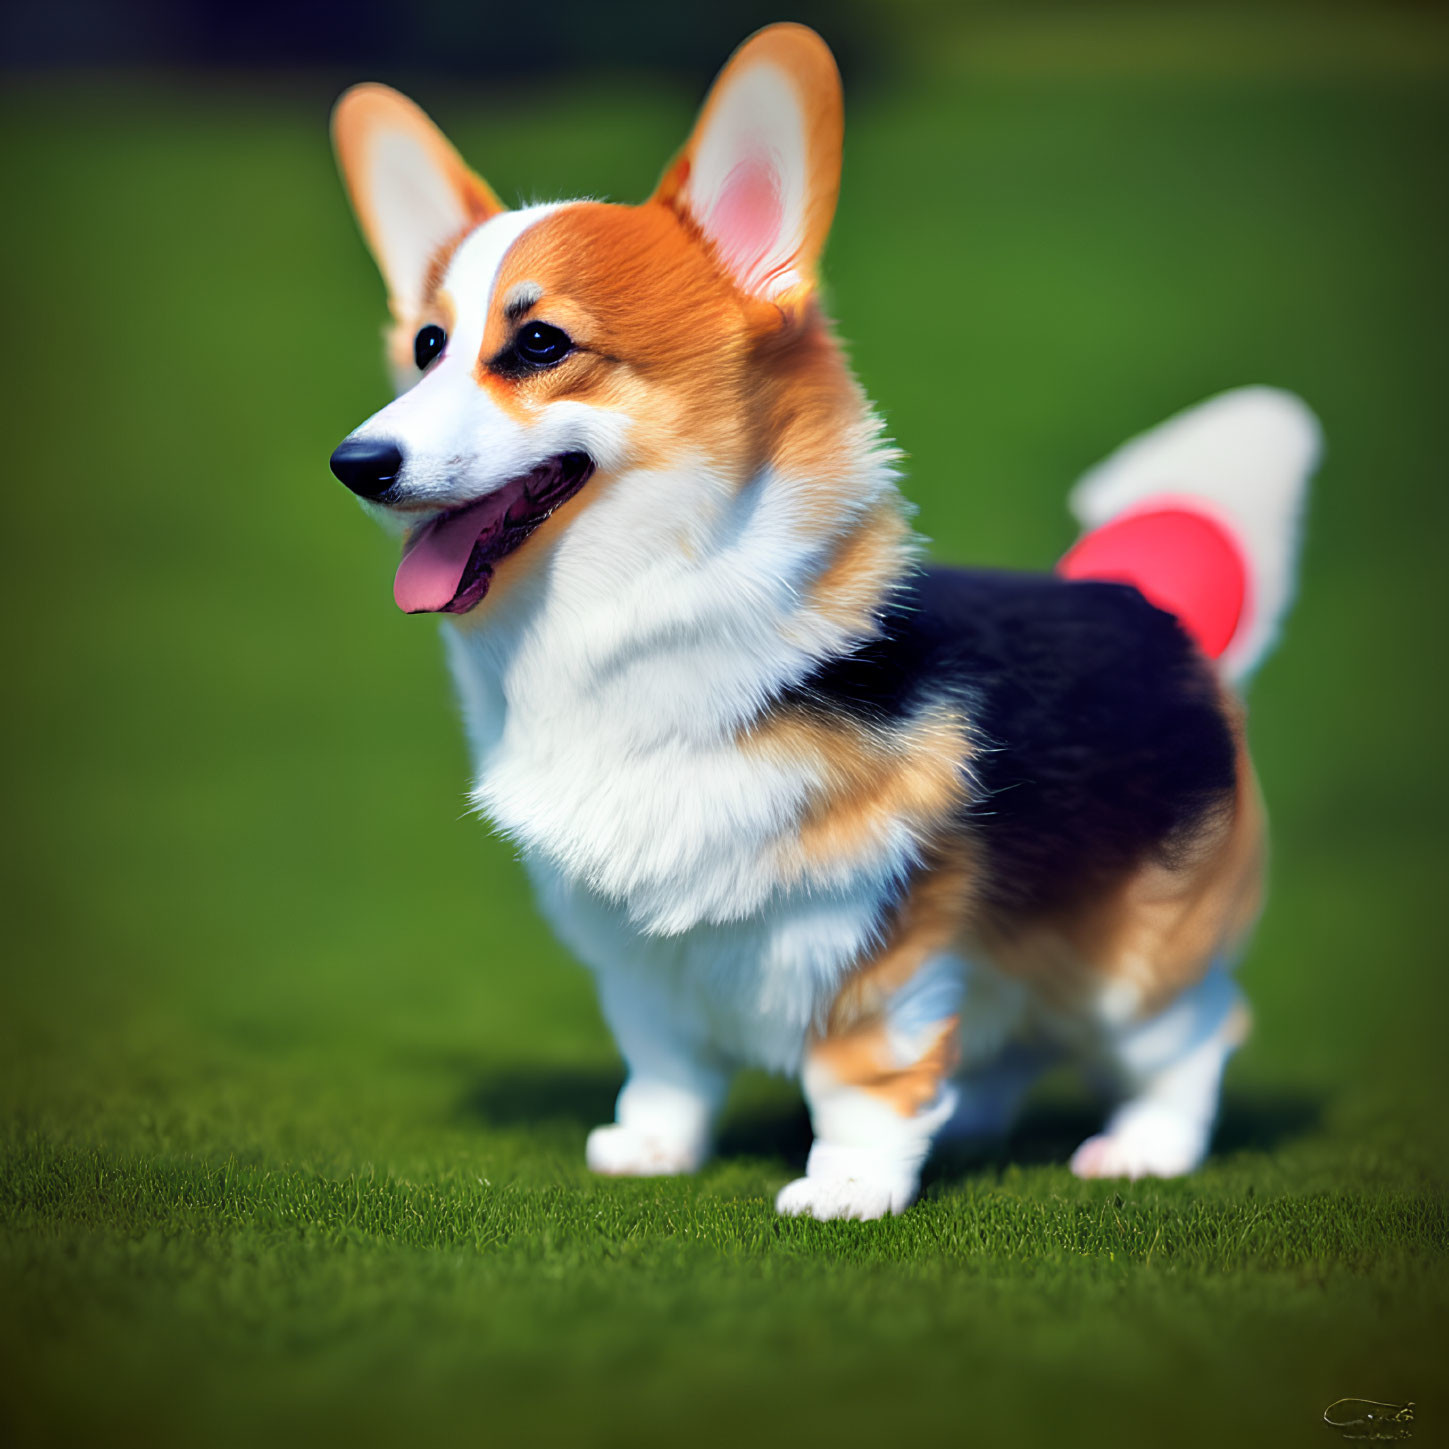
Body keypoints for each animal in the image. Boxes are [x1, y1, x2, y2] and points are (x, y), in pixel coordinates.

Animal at [331, 25, 1327, 1222]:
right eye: (428, 347)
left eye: (538, 345)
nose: (356, 463)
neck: (623, 615)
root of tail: (1152, 610)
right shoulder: (634, 955)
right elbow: (664, 1062)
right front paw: (649, 1148)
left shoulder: (881, 936)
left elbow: (861, 1076)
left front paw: (846, 1188)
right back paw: (976, 1122)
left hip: (1141, 956)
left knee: (1192, 1034)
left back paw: (1143, 1148)